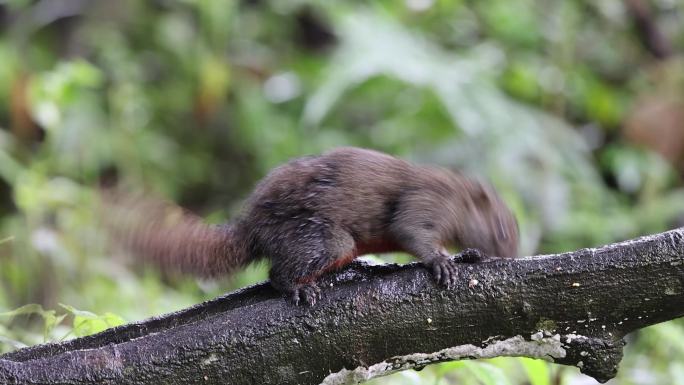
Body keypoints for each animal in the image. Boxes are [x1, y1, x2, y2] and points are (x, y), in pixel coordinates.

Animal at [108, 147, 520, 306]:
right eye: (502, 230)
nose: (513, 255)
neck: (459, 199)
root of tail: (252, 227)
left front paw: (469, 254)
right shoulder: (426, 201)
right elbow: (411, 231)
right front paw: (442, 262)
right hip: (323, 239)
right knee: (276, 274)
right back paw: (299, 289)